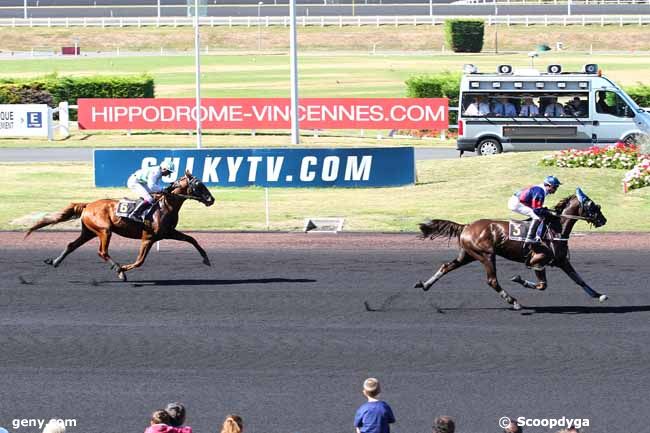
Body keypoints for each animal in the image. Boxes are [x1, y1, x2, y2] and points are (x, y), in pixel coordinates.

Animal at [25, 169, 214, 280]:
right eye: (199, 185)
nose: (211, 199)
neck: (165, 206)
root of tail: (88, 205)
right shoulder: (148, 237)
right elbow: (139, 261)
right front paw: (123, 268)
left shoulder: (168, 233)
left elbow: (191, 239)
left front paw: (206, 258)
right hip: (104, 230)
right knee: (102, 252)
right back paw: (119, 269)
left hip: (89, 231)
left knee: (71, 245)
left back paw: (55, 261)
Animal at [416, 187, 608, 308]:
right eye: (592, 205)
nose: (603, 220)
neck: (556, 228)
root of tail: (466, 226)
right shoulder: (536, 261)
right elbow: (542, 285)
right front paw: (518, 279)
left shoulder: (561, 261)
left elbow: (579, 279)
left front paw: (599, 295)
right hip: (486, 255)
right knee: (492, 281)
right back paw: (514, 302)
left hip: (468, 255)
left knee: (446, 267)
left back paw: (425, 284)